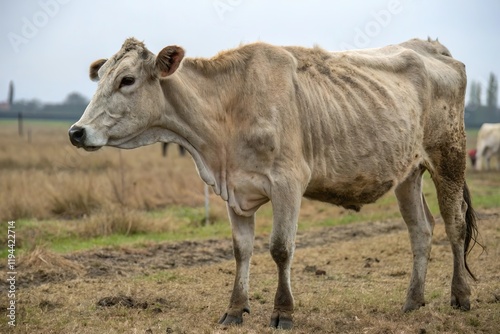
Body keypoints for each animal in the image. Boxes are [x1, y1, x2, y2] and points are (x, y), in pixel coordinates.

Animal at [68, 37, 478, 330]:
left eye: (127, 80)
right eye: (100, 77)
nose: (76, 131)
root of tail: (430, 46)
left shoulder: (288, 183)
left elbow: (281, 248)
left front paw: (283, 312)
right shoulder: (234, 191)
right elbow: (241, 250)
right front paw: (235, 308)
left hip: (450, 157)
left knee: (455, 225)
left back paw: (461, 297)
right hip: (407, 172)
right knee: (421, 229)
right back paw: (413, 301)